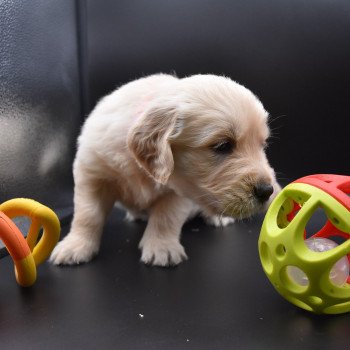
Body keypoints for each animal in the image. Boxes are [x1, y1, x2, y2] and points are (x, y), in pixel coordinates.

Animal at [49, 73, 280, 266]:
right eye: (223, 145)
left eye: (263, 145)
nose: (267, 191)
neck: (143, 170)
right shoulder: (92, 173)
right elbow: (87, 214)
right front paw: (75, 246)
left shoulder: (181, 191)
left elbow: (166, 217)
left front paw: (162, 248)